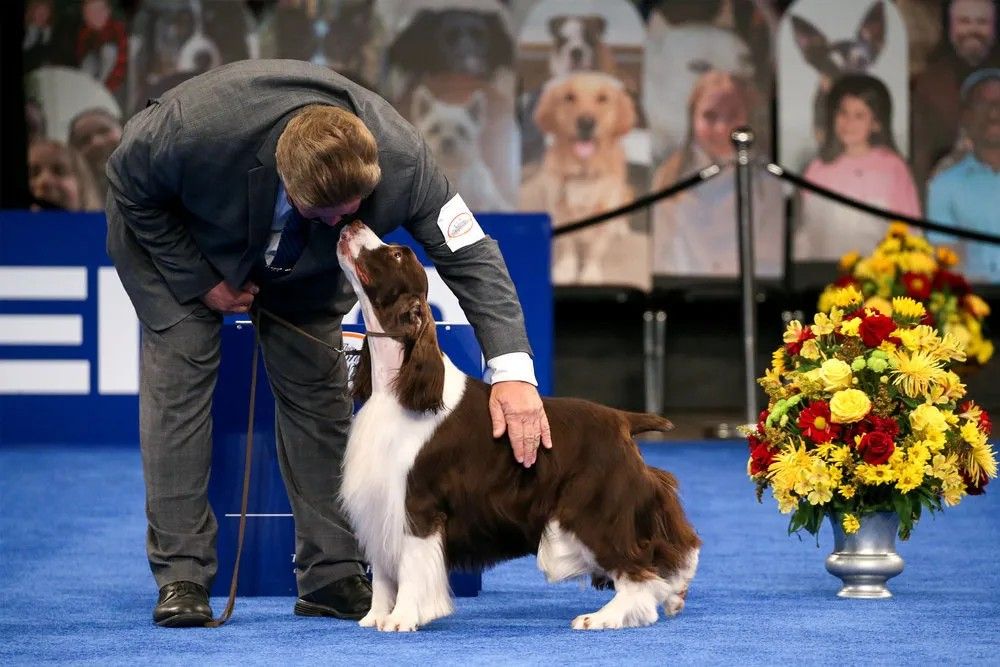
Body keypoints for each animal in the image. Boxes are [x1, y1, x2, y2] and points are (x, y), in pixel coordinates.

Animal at [332, 223, 700, 632]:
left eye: (396, 254)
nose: (353, 224)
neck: (396, 388)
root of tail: (622, 419)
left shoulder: (418, 504)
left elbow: (410, 567)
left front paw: (401, 619)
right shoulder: (378, 501)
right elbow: (383, 572)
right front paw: (375, 616)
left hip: (592, 509)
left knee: (638, 573)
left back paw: (601, 617)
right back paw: (674, 596)